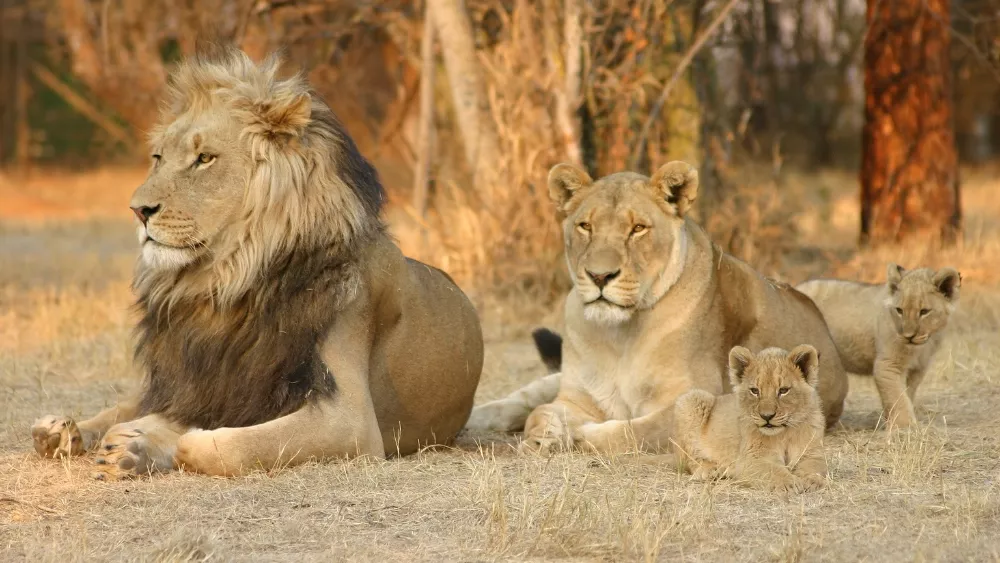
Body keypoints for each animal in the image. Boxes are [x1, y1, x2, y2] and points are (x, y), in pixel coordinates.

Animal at [29, 49, 484, 479]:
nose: (138, 210)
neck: (226, 282)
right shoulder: (192, 383)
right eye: (157, 157)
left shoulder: (350, 420)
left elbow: (219, 443)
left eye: (205, 159)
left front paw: (145, 441)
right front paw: (83, 433)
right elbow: (138, 408)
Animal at [465, 161, 847, 454]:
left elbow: (632, 430)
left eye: (637, 229)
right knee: (525, 398)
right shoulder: (576, 397)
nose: (599, 276)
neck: (619, 334)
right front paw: (546, 435)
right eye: (585, 225)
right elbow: (542, 412)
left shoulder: (697, 401)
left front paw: (581, 435)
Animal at [669, 345, 827, 492]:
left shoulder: (812, 452)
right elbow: (774, 471)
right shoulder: (752, 458)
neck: (785, 433)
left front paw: (810, 480)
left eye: (783, 390)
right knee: (689, 461)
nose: (767, 416)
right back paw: (711, 470)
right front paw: (789, 483)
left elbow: (815, 467)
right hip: (691, 399)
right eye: (755, 391)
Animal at [796, 263, 960, 429]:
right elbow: (897, 397)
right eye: (899, 310)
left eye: (924, 312)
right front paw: (905, 426)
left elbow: (906, 394)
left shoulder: (918, 369)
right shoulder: (887, 365)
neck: (924, 344)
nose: (908, 336)